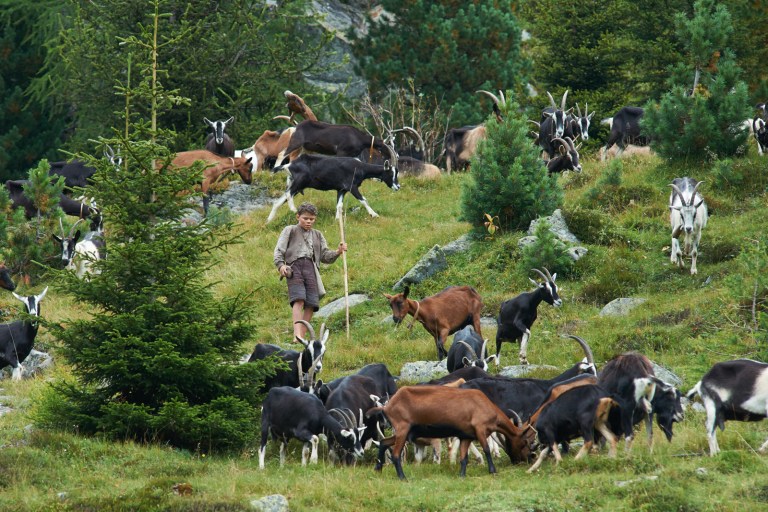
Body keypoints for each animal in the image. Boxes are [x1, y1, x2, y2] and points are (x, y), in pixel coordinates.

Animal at [266, 153, 400, 223]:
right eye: (391, 174)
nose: (398, 187)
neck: (360, 167)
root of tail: (289, 165)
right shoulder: (352, 187)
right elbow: (364, 200)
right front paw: (374, 214)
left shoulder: (341, 189)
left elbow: (339, 205)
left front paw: (337, 220)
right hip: (300, 181)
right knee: (288, 194)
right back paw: (293, 209)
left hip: (296, 184)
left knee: (279, 201)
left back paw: (269, 221)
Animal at [369, 385, 536, 479]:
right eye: (525, 441)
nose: (526, 459)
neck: (484, 404)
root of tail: (387, 407)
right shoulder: (480, 429)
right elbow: (487, 449)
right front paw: (493, 471)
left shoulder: (466, 436)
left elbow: (464, 458)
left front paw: (461, 475)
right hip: (402, 429)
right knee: (396, 454)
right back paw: (402, 477)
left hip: (401, 433)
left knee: (383, 442)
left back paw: (378, 469)